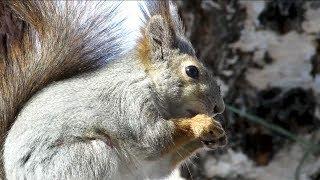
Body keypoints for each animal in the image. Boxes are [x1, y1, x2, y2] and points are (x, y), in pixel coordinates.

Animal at [1, 0, 228, 179]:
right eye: (191, 71)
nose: (219, 108)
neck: (147, 81)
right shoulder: (130, 102)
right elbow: (154, 138)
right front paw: (201, 124)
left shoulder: (152, 164)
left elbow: (160, 164)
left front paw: (216, 136)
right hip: (84, 158)